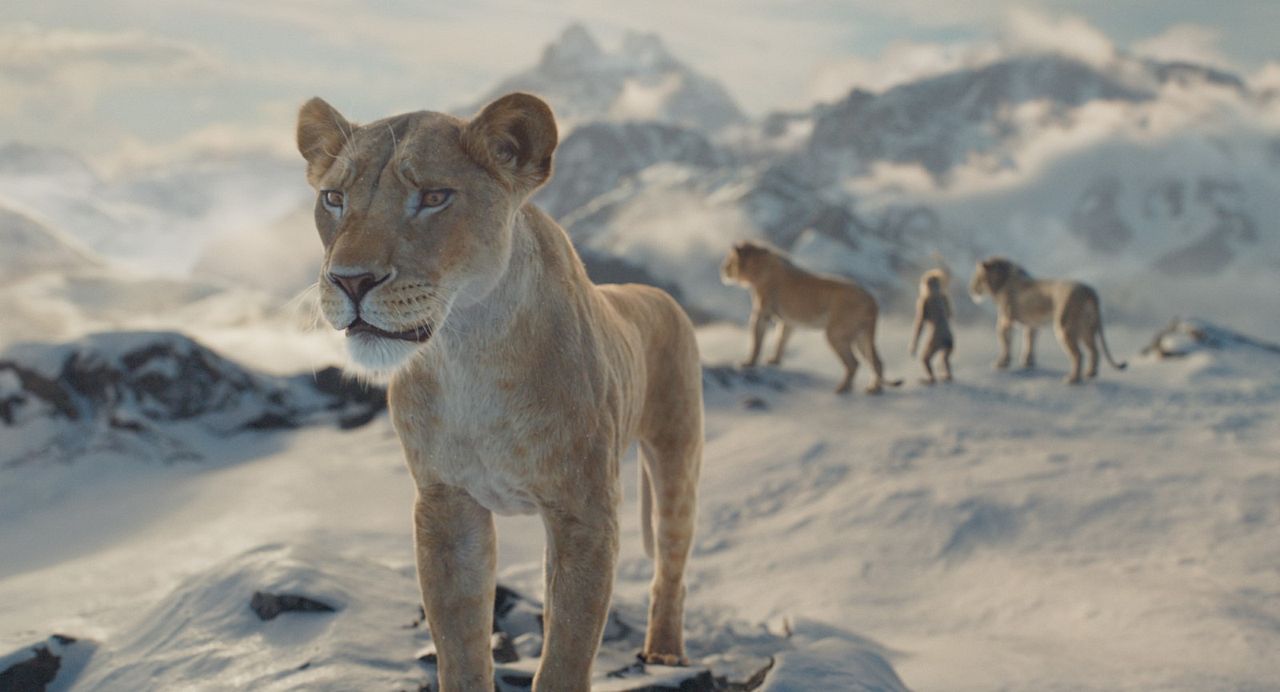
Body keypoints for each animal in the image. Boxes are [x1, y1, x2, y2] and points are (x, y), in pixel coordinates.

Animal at [296, 92, 703, 691]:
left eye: (434, 197)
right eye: (333, 198)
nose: (349, 280)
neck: (469, 351)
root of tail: (656, 293)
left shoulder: (585, 512)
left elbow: (565, 656)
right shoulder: (445, 505)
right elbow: (460, 646)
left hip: (677, 457)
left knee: (671, 561)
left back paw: (666, 653)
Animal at [720, 241, 901, 394]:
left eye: (729, 260)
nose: (722, 270)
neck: (758, 267)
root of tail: (872, 301)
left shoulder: (761, 314)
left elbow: (756, 340)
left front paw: (748, 363)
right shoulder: (787, 322)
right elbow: (781, 340)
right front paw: (774, 361)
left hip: (836, 333)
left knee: (854, 363)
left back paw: (842, 389)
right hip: (861, 335)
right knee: (877, 362)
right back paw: (874, 389)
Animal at [968, 256, 1127, 384]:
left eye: (976, 277)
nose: (971, 289)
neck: (1001, 281)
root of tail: (1090, 290)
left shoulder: (1005, 321)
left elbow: (1005, 343)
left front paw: (1001, 363)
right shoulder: (1032, 325)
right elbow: (1029, 342)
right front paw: (1028, 363)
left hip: (1065, 326)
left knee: (1078, 354)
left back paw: (1072, 379)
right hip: (1087, 328)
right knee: (1094, 350)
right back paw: (1090, 374)